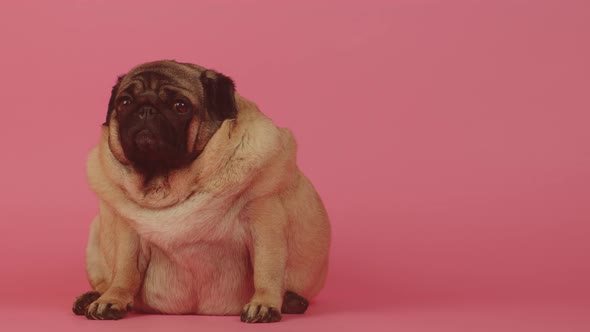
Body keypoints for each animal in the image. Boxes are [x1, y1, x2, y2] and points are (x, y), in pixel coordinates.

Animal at [71, 59, 330, 322]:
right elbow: (125, 271)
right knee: (106, 279)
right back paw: (92, 297)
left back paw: (292, 301)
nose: (146, 109)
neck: (164, 184)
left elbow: (266, 269)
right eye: (124, 102)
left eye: (180, 106)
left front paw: (264, 304)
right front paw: (113, 299)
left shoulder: (264, 222)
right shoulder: (128, 235)